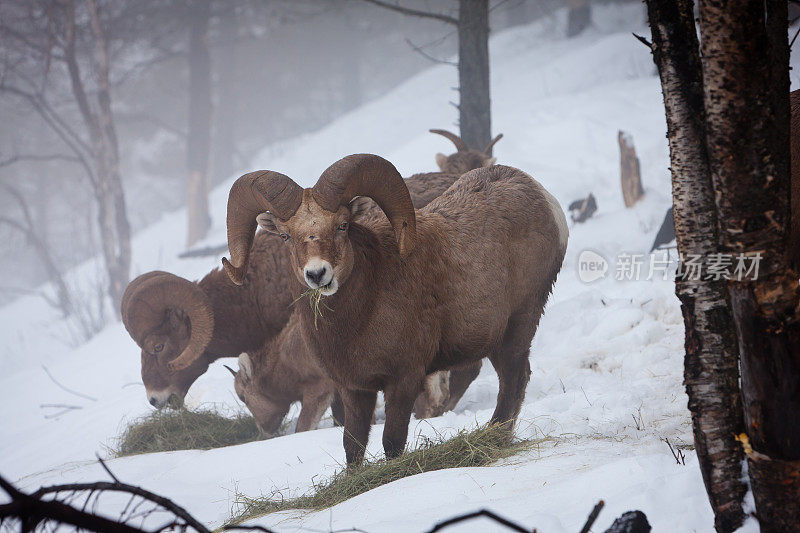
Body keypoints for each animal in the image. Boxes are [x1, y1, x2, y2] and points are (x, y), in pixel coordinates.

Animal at [222, 153, 564, 462]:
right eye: (286, 235)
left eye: (343, 225)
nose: (317, 274)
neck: (361, 317)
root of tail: (541, 195)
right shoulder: (354, 390)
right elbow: (353, 446)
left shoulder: (403, 381)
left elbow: (392, 441)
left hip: (517, 326)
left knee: (514, 379)